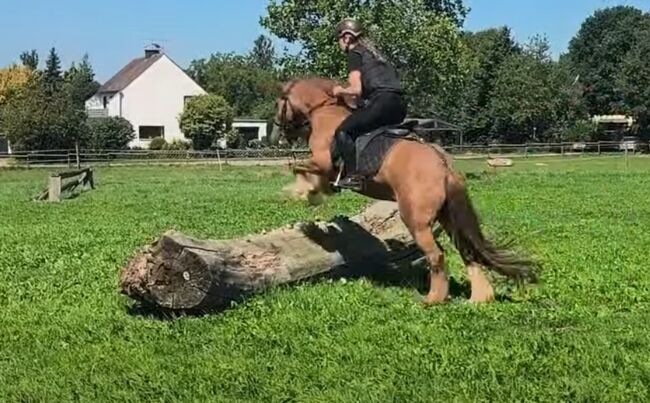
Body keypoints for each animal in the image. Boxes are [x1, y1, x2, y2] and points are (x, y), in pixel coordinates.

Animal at [270, 76, 538, 304]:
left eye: (278, 103)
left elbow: (297, 168)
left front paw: (305, 194)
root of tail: (444, 166)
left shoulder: (323, 163)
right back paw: (480, 298)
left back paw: (433, 299)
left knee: (437, 255)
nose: (277, 134)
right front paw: (314, 193)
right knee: (466, 251)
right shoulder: (323, 167)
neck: (325, 113)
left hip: (415, 220)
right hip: (448, 217)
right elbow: (305, 172)